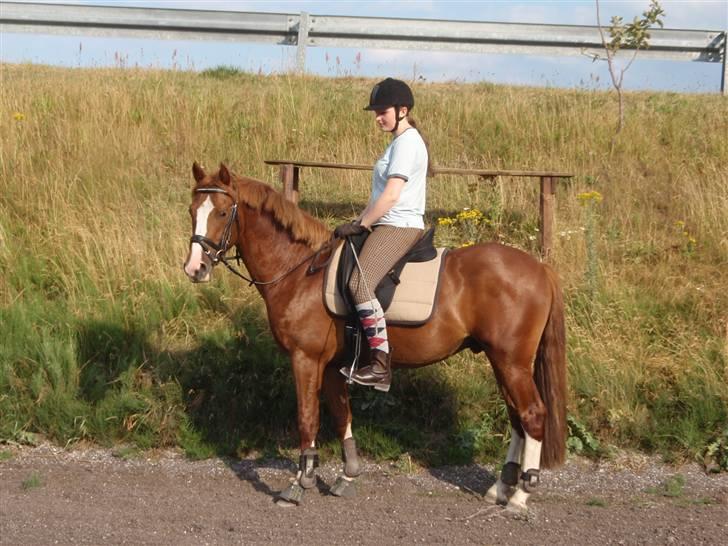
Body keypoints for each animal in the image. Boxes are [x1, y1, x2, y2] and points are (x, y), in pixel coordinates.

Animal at [182, 163, 568, 510]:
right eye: (192, 211)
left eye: (221, 212)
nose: (195, 269)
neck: (299, 270)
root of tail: (540, 267)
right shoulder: (332, 365)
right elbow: (342, 414)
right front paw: (347, 475)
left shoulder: (305, 359)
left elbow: (308, 417)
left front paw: (299, 484)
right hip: (501, 360)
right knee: (516, 417)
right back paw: (500, 488)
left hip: (511, 361)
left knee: (532, 414)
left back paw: (519, 497)